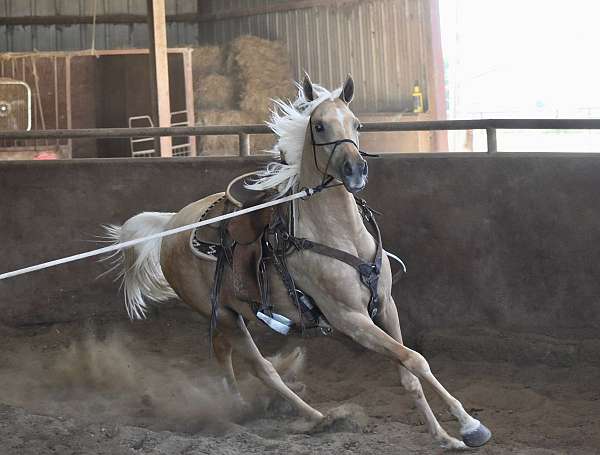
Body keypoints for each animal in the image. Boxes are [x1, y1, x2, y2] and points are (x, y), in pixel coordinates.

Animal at [106, 75, 492, 452]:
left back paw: (243, 410)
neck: (338, 235)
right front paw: (471, 426)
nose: (356, 170)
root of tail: (172, 222)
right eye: (319, 126)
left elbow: (409, 372)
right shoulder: (350, 319)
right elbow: (414, 358)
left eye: (357, 123)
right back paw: (315, 417)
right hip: (227, 317)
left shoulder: (385, 307)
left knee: (222, 354)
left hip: (225, 314)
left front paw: (444, 436)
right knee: (261, 368)